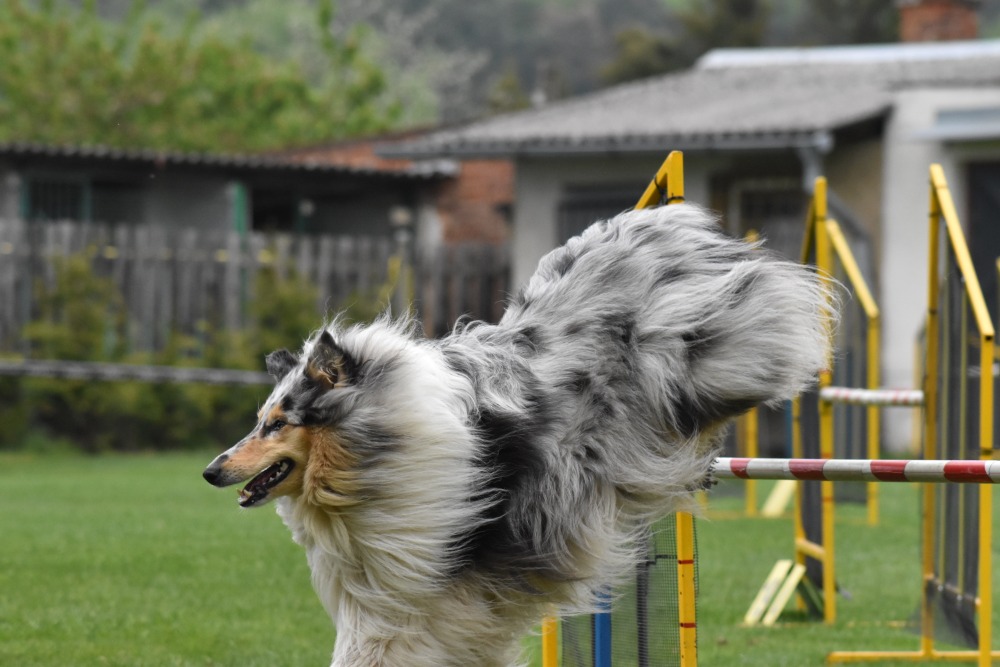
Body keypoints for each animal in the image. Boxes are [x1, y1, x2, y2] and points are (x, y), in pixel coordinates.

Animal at [203, 203, 833, 666]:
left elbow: (376, 648)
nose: (211, 470)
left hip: (701, 355)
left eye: (277, 423)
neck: (372, 449)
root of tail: (664, 220)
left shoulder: (425, 585)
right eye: (259, 420)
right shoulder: (395, 589)